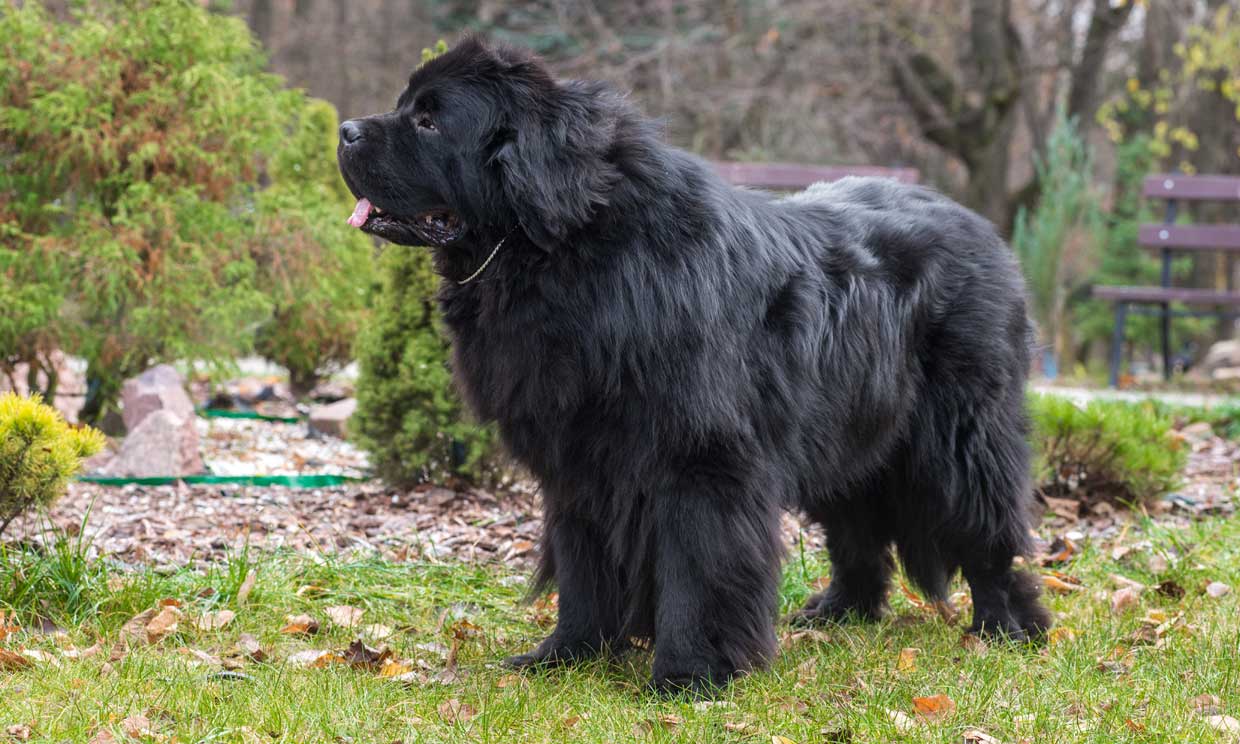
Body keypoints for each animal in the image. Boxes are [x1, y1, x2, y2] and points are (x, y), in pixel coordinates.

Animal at [337, 37, 1046, 694]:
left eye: (430, 121)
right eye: (406, 106)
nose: (344, 129)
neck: (567, 252)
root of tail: (979, 225)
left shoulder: (701, 457)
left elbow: (699, 567)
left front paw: (689, 675)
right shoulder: (577, 459)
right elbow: (581, 563)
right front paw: (566, 655)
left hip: (958, 435)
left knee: (987, 528)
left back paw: (1005, 627)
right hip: (844, 427)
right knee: (858, 531)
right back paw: (840, 612)